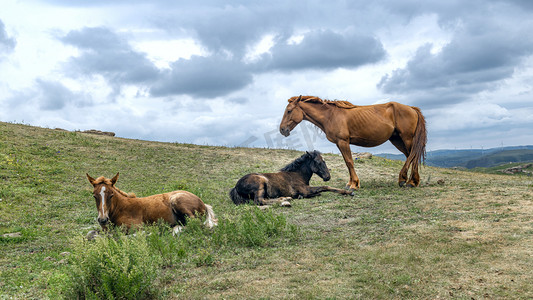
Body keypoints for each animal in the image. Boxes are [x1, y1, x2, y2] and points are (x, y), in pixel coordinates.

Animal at [87, 173, 216, 234]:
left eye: (111, 195)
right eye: (94, 196)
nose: (103, 220)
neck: (120, 209)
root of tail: (203, 203)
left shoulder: (135, 226)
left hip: (177, 200)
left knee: (195, 223)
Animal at [278, 95, 424, 190]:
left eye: (289, 111)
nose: (282, 130)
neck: (330, 115)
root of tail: (411, 108)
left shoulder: (343, 142)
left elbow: (349, 162)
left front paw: (354, 185)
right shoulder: (339, 143)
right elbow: (347, 163)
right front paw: (350, 184)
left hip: (406, 138)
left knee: (412, 156)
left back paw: (405, 180)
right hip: (397, 140)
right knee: (411, 157)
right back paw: (413, 181)